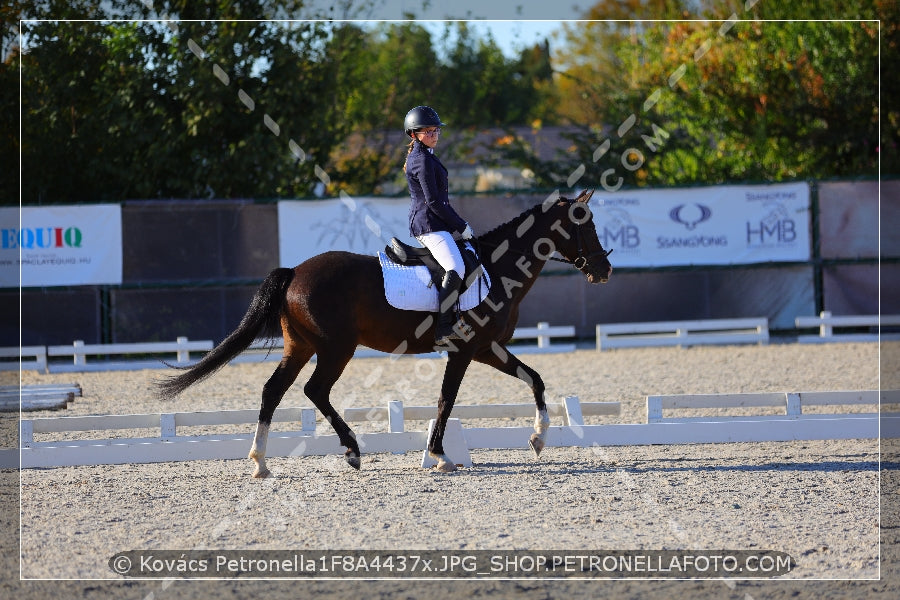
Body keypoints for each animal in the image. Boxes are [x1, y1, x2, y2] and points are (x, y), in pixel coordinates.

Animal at [158, 190, 616, 476]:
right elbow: (446, 400)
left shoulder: (486, 347)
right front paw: (439, 456)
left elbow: (534, 379)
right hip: (336, 349)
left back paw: (260, 462)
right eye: (584, 222)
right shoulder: (465, 350)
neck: (499, 266)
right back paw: (352, 451)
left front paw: (538, 439)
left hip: (300, 346)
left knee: (274, 391)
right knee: (314, 391)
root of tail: (295, 272)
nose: (604, 269)